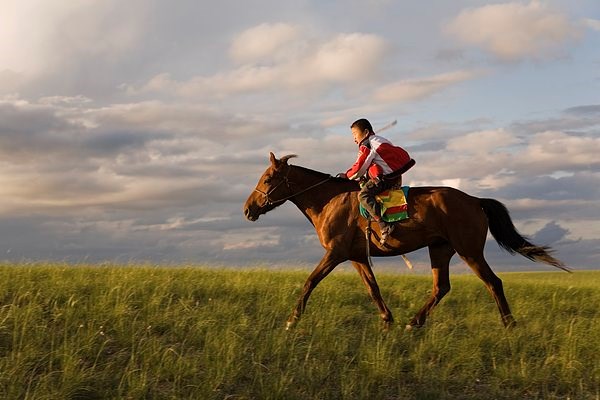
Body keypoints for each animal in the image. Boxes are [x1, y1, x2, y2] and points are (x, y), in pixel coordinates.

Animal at [243, 153, 568, 332]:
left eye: (268, 178)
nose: (248, 209)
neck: (330, 200)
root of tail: (475, 200)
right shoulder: (357, 256)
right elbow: (372, 289)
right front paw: (387, 319)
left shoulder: (335, 254)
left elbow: (310, 282)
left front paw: (291, 320)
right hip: (440, 249)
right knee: (441, 287)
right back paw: (415, 322)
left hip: (469, 251)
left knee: (493, 282)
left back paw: (509, 324)